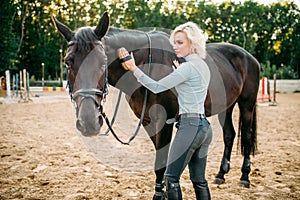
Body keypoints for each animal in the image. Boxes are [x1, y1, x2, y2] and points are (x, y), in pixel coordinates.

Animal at [53, 12, 260, 198]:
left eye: (103, 62)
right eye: (68, 62)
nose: (88, 122)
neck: (147, 63)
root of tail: (249, 57)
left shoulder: (164, 121)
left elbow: (161, 163)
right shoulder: (147, 121)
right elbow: (163, 161)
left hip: (247, 105)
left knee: (247, 136)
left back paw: (245, 177)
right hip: (226, 107)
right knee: (229, 135)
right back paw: (221, 174)